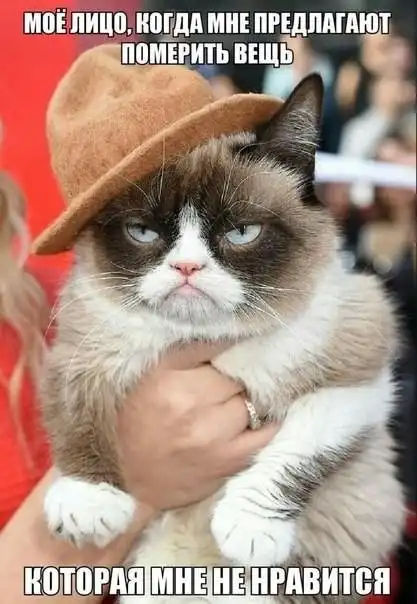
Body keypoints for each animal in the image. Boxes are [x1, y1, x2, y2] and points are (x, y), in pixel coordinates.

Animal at [40, 75, 405, 603]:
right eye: (143, 231)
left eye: (242, 233)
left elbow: (297, 451)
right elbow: (78, 416)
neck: (211, 343)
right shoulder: (84, 350)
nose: (187, 268)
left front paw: (249, 530)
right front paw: (89, 503)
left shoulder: (357, 379)